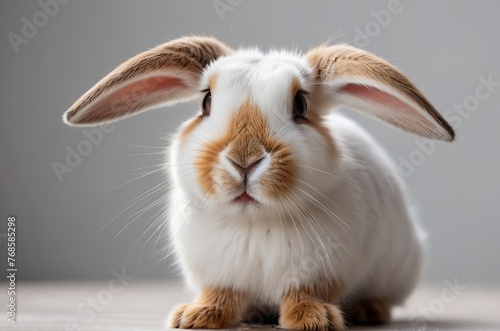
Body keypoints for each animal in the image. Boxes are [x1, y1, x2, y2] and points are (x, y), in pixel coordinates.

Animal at [62, 35, 454, 330]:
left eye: (300, 104)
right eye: (206, 102)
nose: (244, 160)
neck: (255, 221)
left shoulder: (321, 273)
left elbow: (302, 295)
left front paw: (314, 320)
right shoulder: (219, 274)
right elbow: (221, 295)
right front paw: (195, 317)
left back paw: (368, 310)